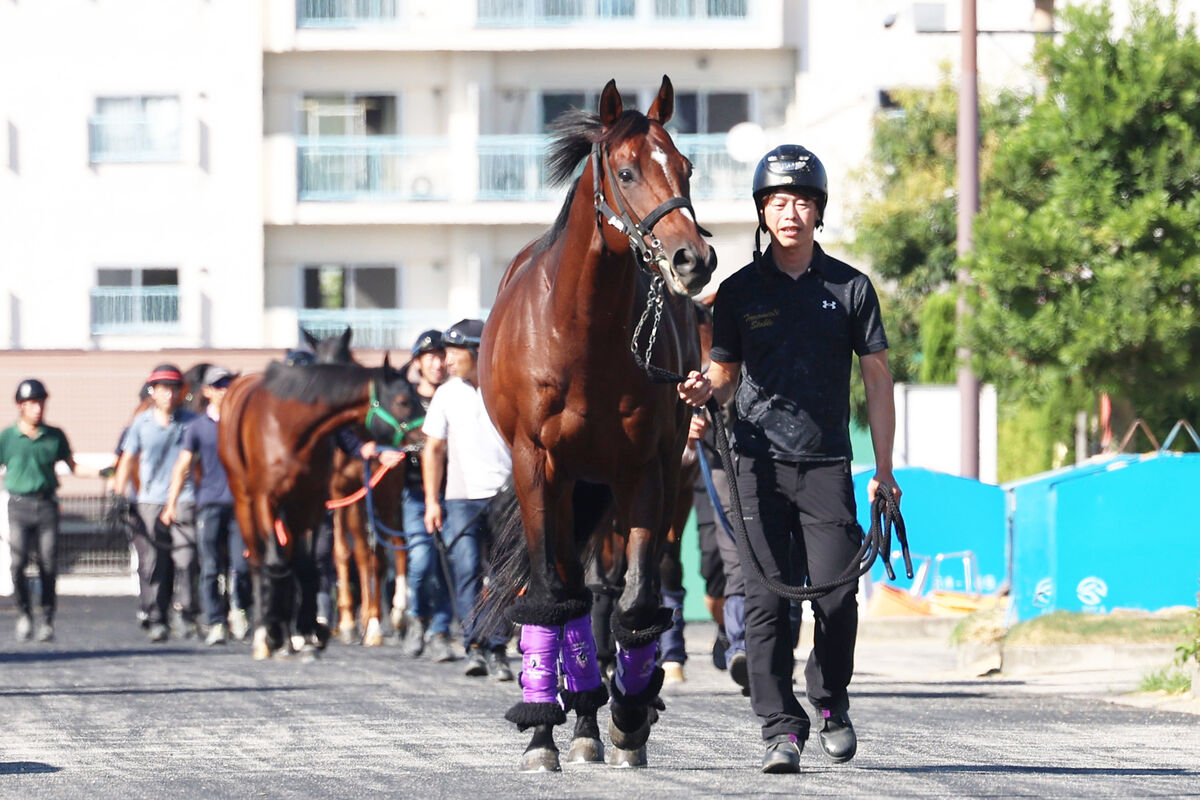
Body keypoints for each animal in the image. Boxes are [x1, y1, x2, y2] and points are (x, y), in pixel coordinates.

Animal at [219, 359, 412, 662]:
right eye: (404, 400)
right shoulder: (270, 499)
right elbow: (286, 562)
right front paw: (277, 633)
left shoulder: (313, 501)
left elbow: (309, 565)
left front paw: (309, 632)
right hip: (246, 502)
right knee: (260, 560)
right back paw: (267, 635)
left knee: (386, 549)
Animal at [477, 76, 715, 767]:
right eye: (628, 170)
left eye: (686, 167)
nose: (693, 259)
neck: (580, 332)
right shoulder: (536, 464)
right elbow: (549, 594)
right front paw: (541, 733)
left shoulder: (647, 469)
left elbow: (637, 599)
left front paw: (629, 715)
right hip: (566, 484)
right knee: (567, 592)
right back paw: (571, 717)